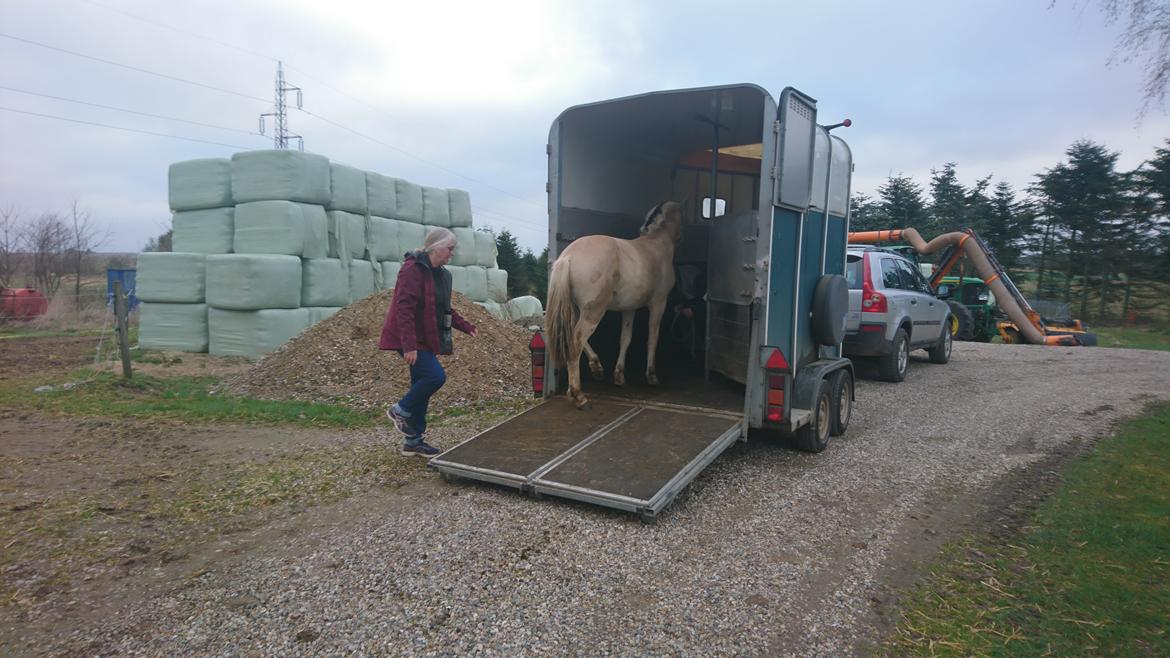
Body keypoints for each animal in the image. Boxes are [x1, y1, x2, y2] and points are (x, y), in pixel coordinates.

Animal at [545, 200, 683, 407]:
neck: (656, 244)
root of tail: (568, 257)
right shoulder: (659, 303)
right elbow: (653, 337)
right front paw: (651, 375)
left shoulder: (629, 308)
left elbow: (625, 338)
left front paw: (619, 375)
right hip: (594, 312)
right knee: (577, 340)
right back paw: (579, 395)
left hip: (577, 310)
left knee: (573, 338)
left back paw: (592, 371)